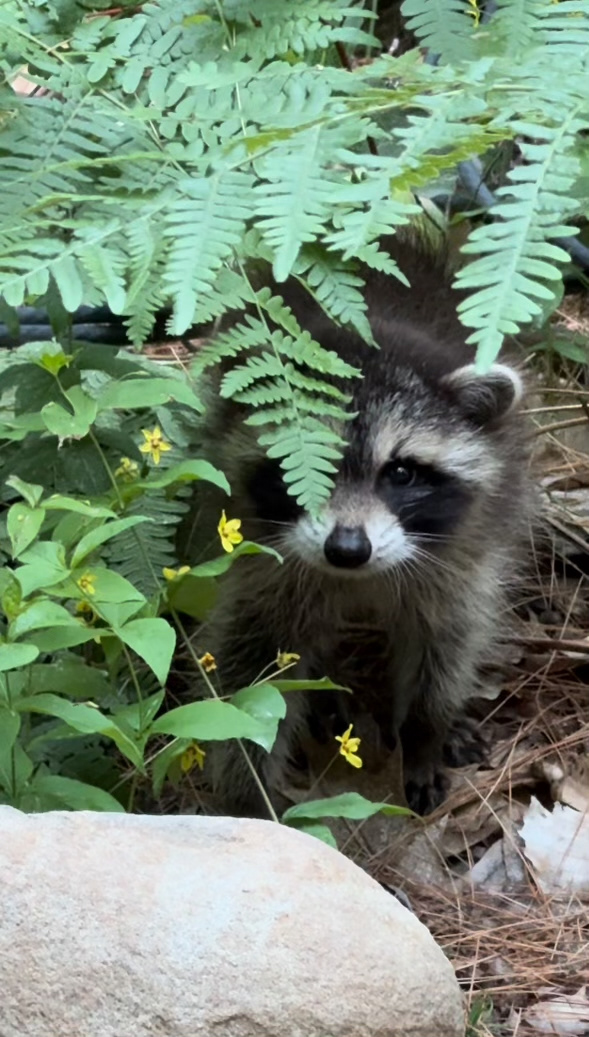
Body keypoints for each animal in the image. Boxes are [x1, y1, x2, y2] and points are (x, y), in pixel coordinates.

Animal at [188, 235, 534, 817]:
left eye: (401, 473)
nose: (347, 549)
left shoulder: (464, 553)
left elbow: (448, 642)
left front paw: (424, 735)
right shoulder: (261, 565)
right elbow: (251, 670)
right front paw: (250, 796)